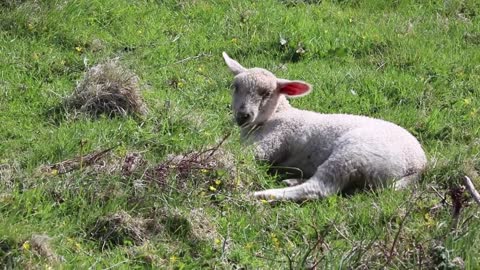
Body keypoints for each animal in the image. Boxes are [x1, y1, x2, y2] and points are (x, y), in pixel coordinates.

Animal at [222, 51, 428, 201]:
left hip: (354, 155)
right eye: (235, 87)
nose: (243, 116)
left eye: (266, 93)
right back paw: (292, 180)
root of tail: (418, 165)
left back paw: (263, 195)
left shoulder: (274, 139)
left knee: (320, 188)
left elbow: (244, 154)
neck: (277, 114)